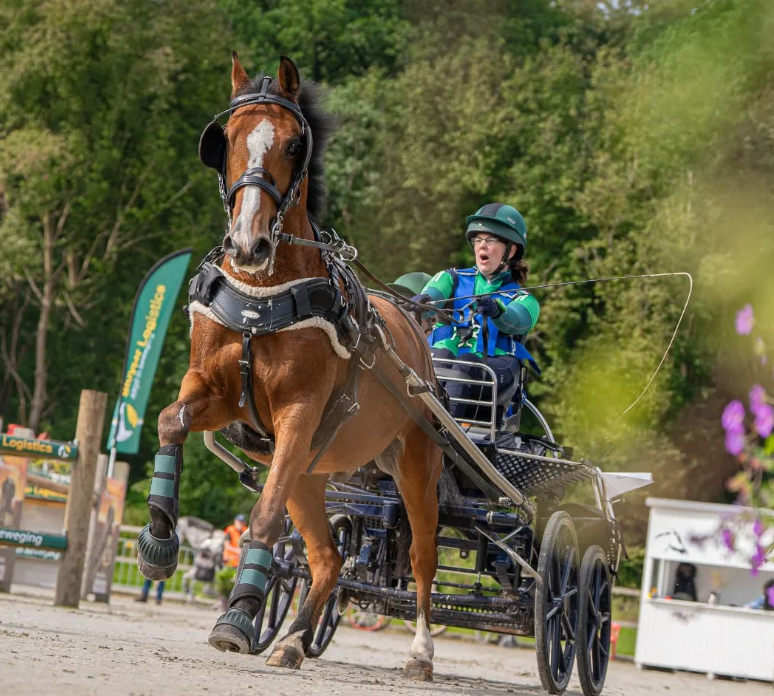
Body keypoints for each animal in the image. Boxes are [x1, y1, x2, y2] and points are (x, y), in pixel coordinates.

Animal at [136, 54, 446, 680]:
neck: (264, 294)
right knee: (326, 559)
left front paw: (238, 615)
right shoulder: (218, 394)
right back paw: (293, 642)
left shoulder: (296, 418)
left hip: (413, 466)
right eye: (226, 139)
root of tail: (415, 329)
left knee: (422, 556)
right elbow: (169, 421)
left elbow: (263, 515)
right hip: (312, 473)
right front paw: (158, 539)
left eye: (293, 143)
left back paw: (420, 654)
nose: (248, 244)